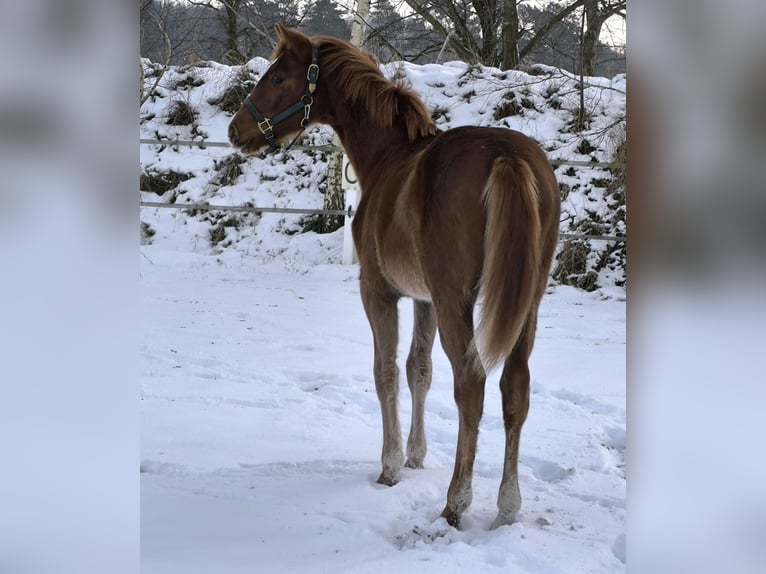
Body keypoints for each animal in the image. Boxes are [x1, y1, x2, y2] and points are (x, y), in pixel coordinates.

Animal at [229, 24, 560, 529]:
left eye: (279, 76)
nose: (235, 130)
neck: (387, 157)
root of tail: (508, 158)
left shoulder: (379, 292)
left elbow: (384, 370)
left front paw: (390, 466)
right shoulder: (423, 299)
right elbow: (418, 369)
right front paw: (416, 456)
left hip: (458, 301)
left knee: (471, 385)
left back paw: (455, 502)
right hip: (526, 304)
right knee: (514, 389)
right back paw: (507, 506)